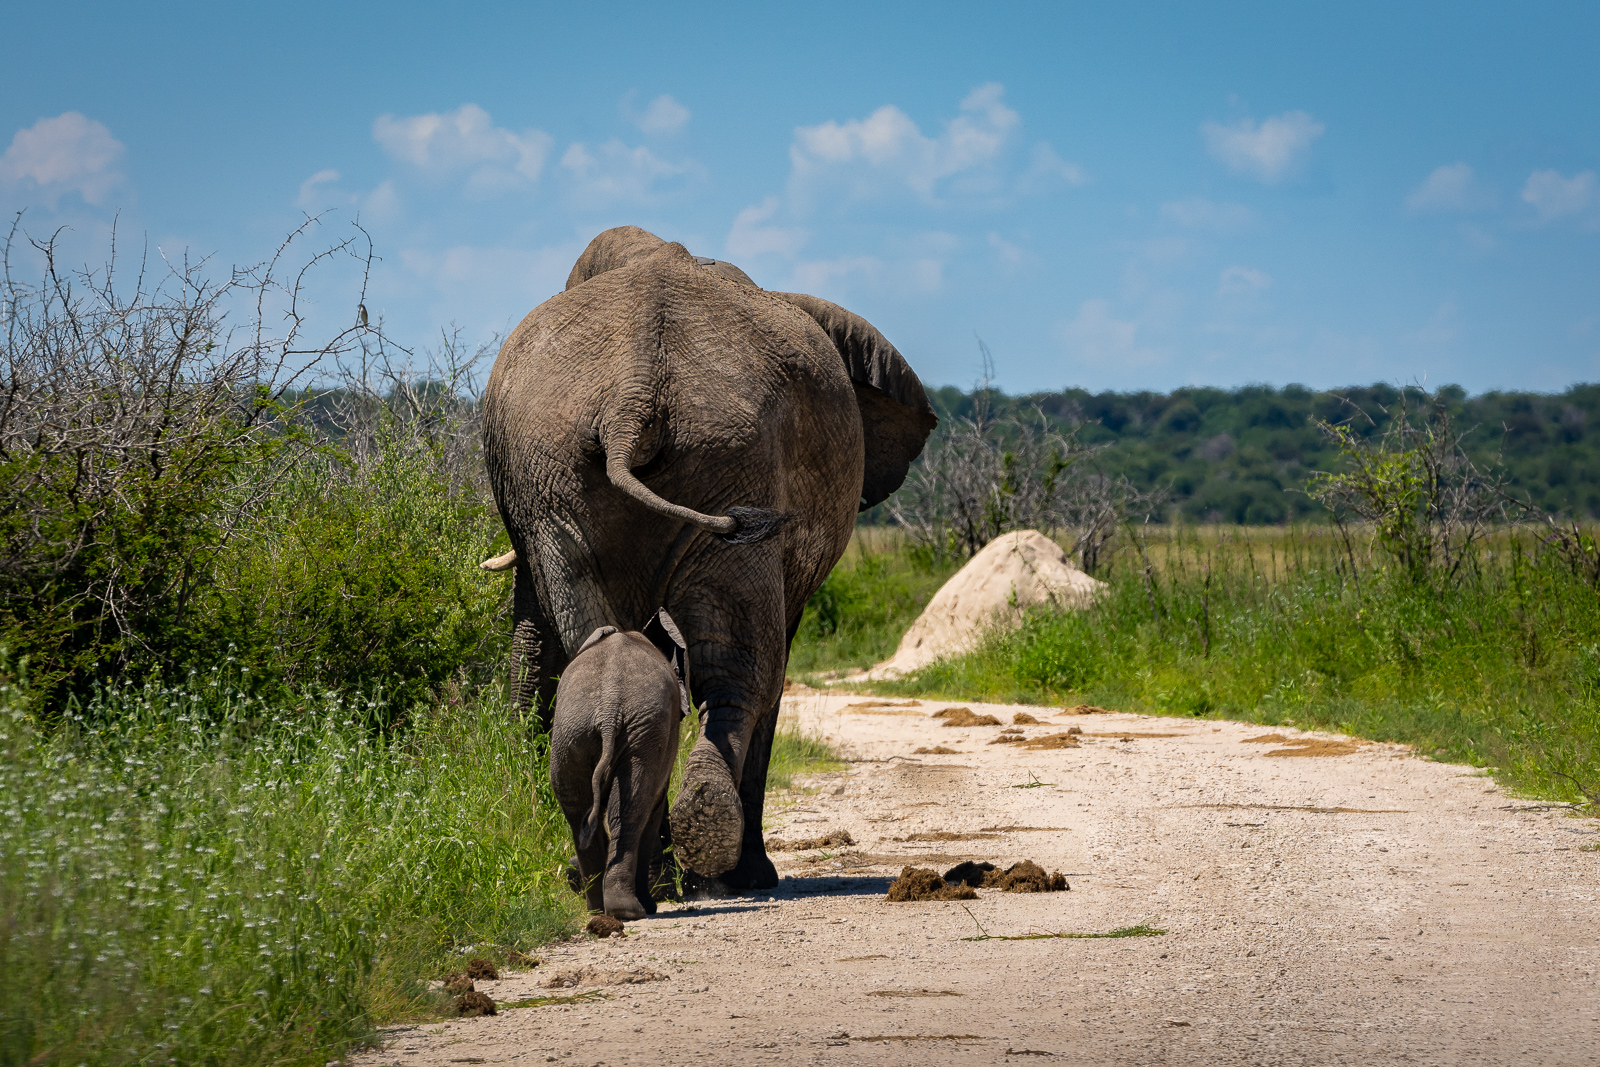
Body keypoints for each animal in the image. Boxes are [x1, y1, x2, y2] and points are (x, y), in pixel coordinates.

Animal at [486, 225, 934, 883]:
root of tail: (632, 396)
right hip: (602, 464)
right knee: (735, 664)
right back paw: (702, 854)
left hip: (630, 464)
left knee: (654, 652)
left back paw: (668, 857)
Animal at [550, 614, 688, 921]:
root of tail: (609, 707)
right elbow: (654, 807)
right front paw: (650, 906)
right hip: (638, 735)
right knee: (631, 811)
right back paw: (629, 911)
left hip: (571, 735)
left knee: (579, 812)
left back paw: (599, 910)